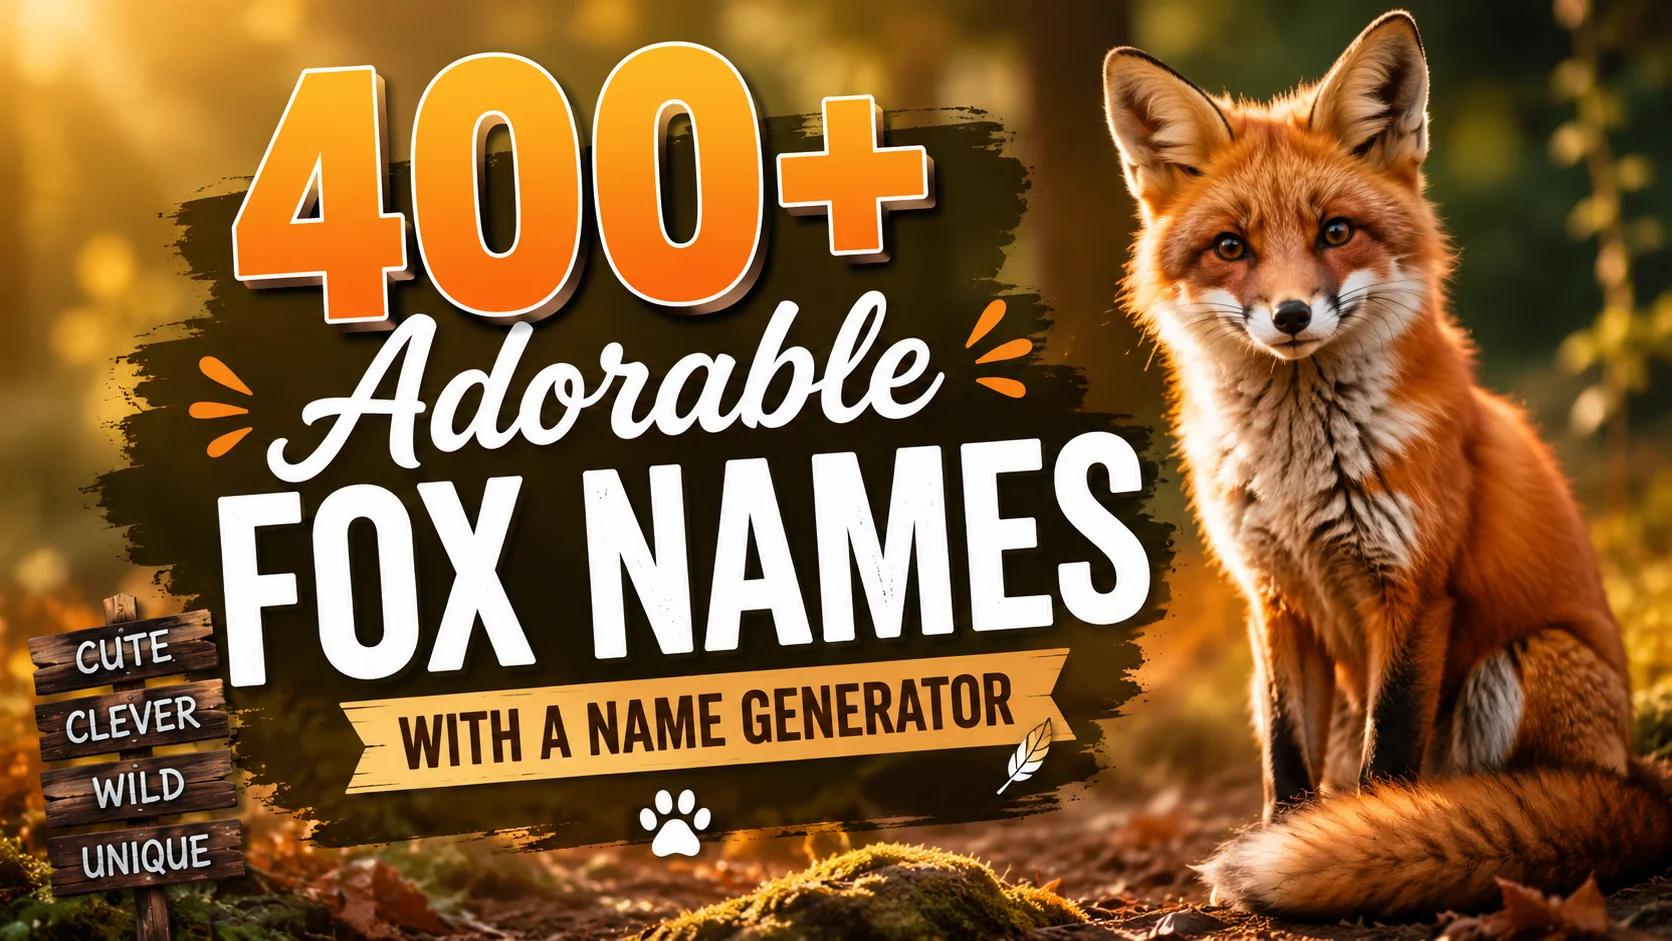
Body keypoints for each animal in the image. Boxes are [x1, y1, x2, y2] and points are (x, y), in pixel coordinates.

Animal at [1101, 10, 1672, 921]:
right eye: (1230, 246)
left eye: (1336, 231)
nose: (1291, 314)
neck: (1298, 470)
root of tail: (1639, 782)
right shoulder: (1273, 597)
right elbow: (1284, 755)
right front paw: (1290, 838)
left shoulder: (1410, 589)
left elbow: (1388, 756)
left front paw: (1357, 847)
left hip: (1523, 658)